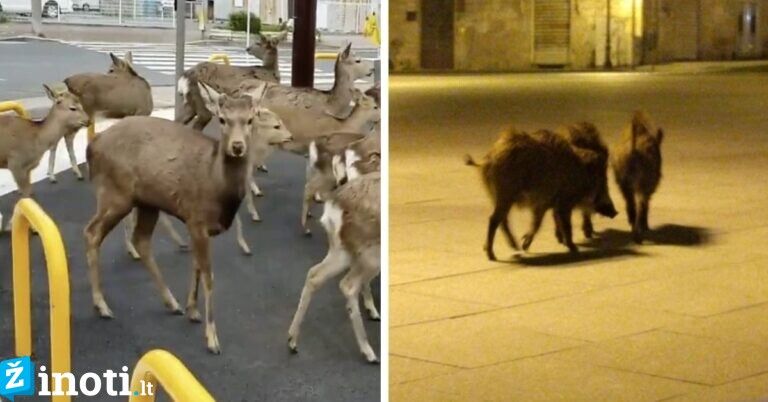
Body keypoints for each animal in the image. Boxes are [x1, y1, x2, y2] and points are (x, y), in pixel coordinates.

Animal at [83, 83, 288, 354]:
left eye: (250, 119)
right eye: (222, 119)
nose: (237, 146)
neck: (217, 186)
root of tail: (91, 147)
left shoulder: (196, 224)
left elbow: (196, 266)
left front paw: (192, 310)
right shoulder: (197, 220)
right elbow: (210, 276)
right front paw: (212, 339)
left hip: (148, 202)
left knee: (141, 241)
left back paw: (172, 302)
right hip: (114, 193)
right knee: (92, 232)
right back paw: (102, 305)